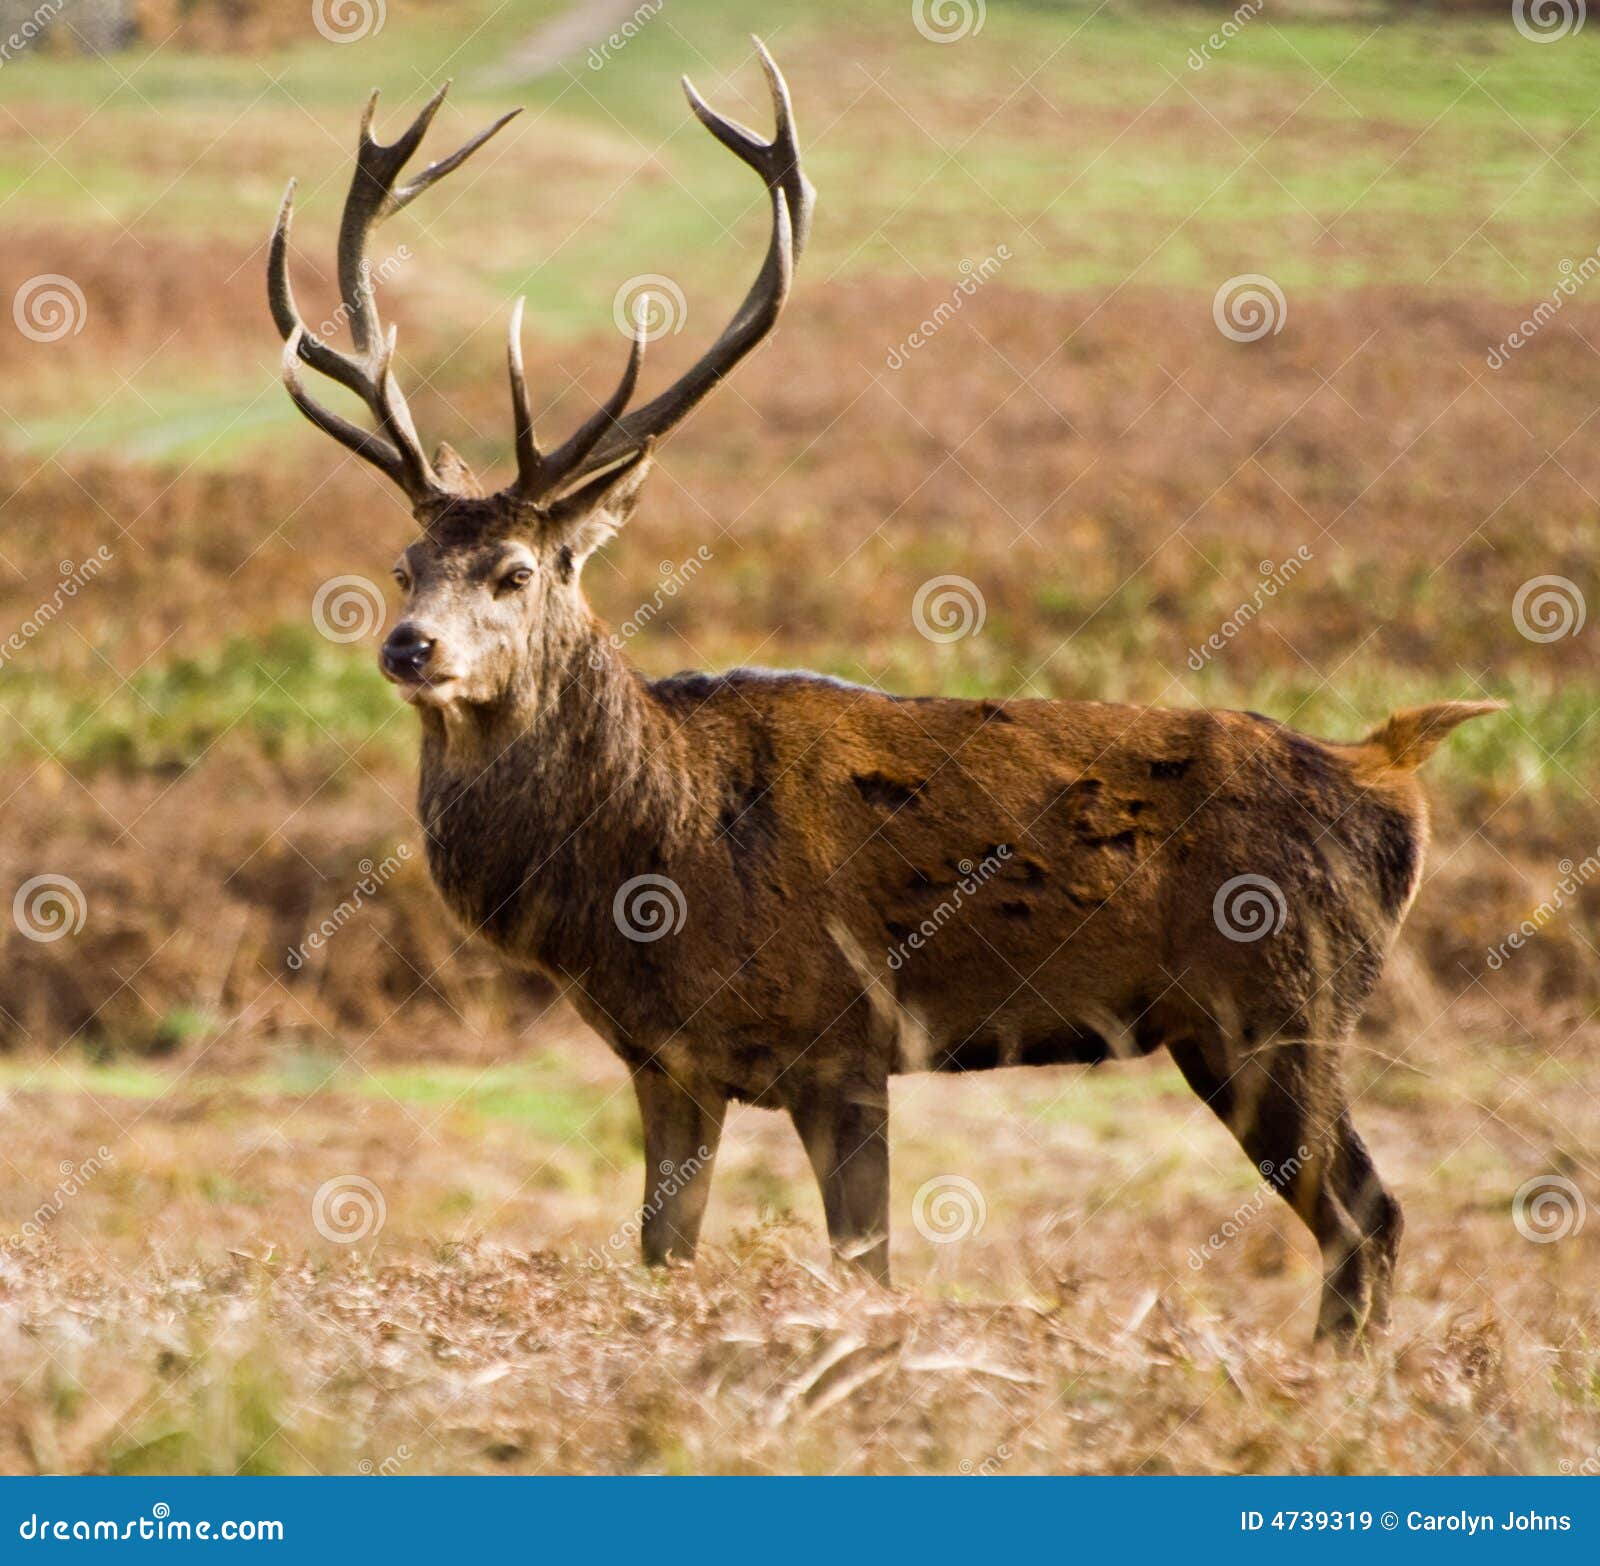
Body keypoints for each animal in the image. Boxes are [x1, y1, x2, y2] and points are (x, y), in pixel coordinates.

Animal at [267, 44, 1502, 1347]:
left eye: (515, 571)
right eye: (402, 564)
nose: (409, 649)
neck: (649, 868)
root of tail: (1391, 773)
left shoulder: (845, 1039)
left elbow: (865, 1267)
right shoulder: (668, 1061)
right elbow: (663, 1257)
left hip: (1279, 1002)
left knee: (1368, 1216)